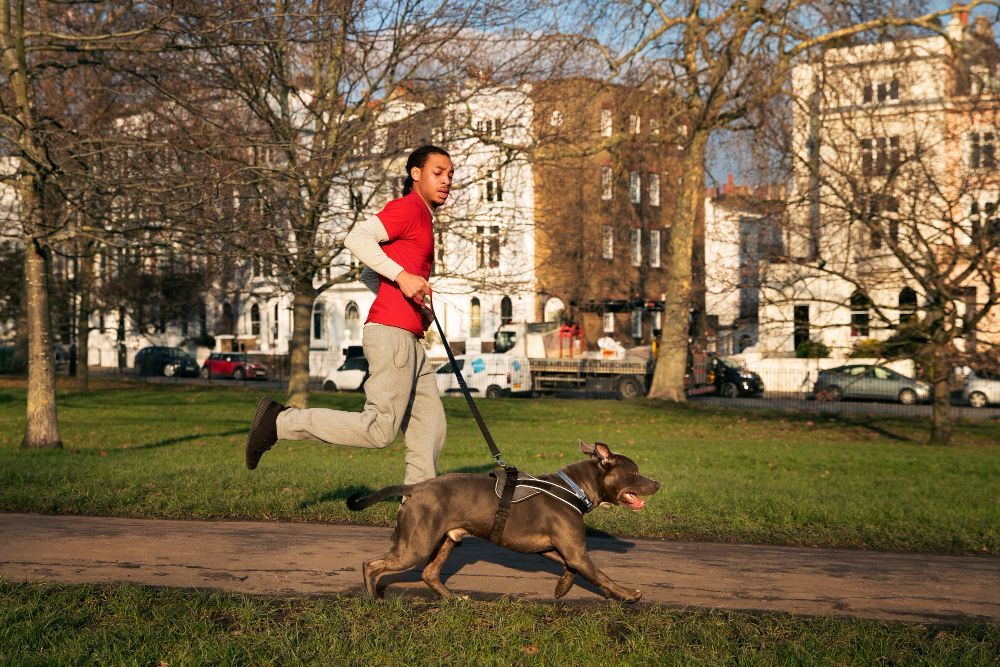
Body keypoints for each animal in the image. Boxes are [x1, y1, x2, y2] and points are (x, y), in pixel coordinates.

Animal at [348, 440, 660, 604]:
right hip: (416, 546)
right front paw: (627, 594)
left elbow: (571, 569)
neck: (575, 487)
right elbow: (602, 575)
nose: (657, 483)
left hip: (446, 540)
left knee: (429, 573)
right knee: (370, 564)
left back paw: (454, 599)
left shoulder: (558, 550)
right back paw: (372, 597)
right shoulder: (576, 552)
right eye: (635, 472)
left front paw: (561, 589)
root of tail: (415, 487)